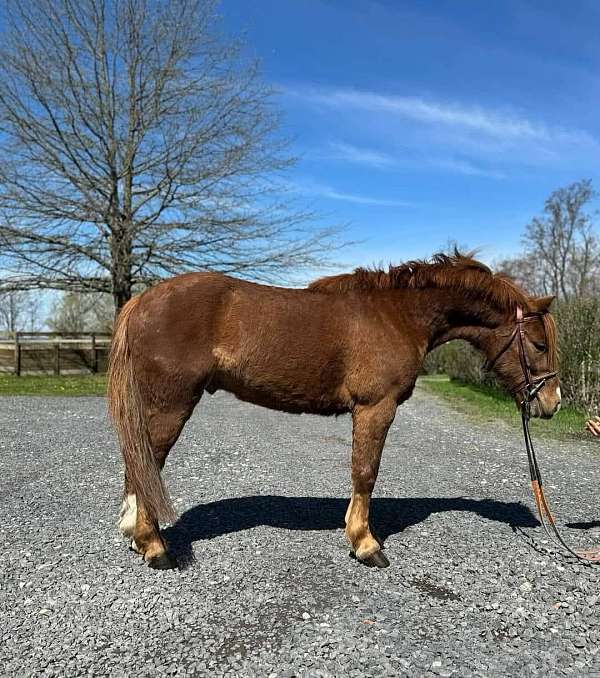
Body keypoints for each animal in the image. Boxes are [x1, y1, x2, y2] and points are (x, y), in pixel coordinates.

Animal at [108, 252, 561, 570]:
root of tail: (142, 300)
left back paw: (135, 534)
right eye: (539, 344)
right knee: (146, 465)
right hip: (171, 405)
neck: (396, 316)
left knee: (138, 466)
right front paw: (365, 543)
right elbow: (365, 472)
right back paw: (154, 547)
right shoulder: (375, 408)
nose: (553, 402)